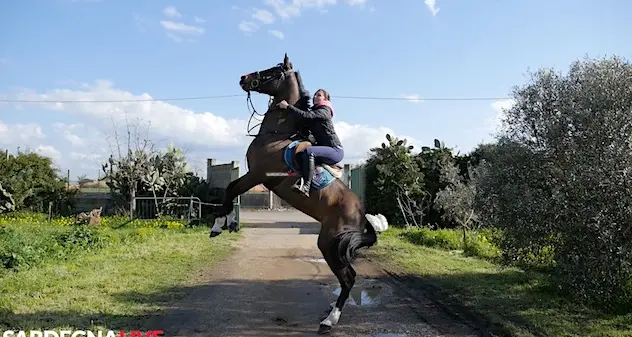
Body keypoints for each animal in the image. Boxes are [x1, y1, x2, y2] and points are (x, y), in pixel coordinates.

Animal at [210, 53, 388, 334]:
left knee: (348, 278)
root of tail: (361, 215)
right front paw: (226, 222)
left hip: (329, 243)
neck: (277, 135)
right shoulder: (256, 177)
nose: (243, 78)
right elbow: (231, 189)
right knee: (348, 277)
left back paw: (329, 321)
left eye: (272, 71)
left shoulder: (258, 175)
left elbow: (232, 189)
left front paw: (218, 224)